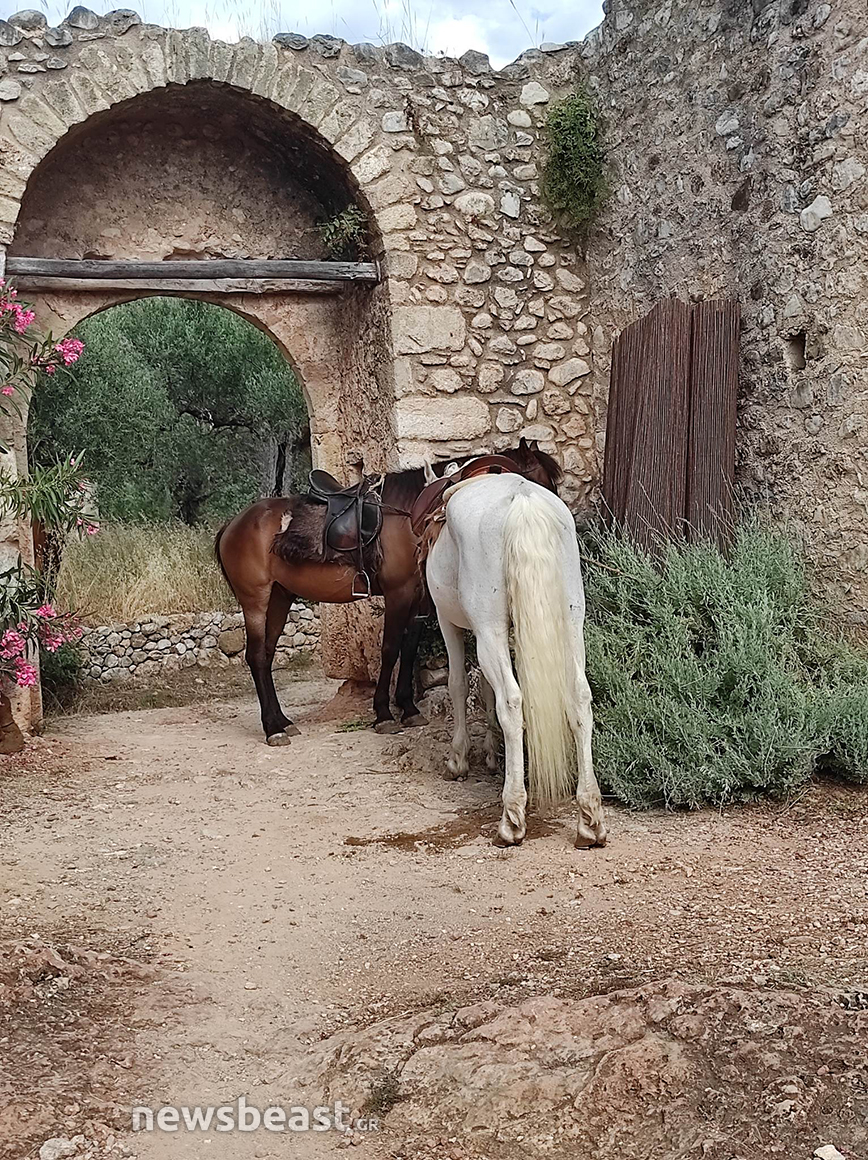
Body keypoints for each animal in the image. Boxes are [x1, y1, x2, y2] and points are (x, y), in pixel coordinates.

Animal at [214, 440, 560, 745]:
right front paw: (383, 713)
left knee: (267, 654)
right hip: (255, 600)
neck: (412, 514)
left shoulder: (418, 599)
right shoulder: (398, 594)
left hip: (280, 597)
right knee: (256, 656)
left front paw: (408, 708)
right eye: (541, 482)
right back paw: (272, 728)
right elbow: (390, 649)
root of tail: (233, 524)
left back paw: (282, 721)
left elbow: (409, 649)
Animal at [426, 472, 607, 849]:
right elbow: (483, 691)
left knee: (511, 701)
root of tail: (521, 500)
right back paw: (589, 819)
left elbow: (459, 684)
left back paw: (511, 817)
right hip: (571, 624)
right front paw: (491, 754)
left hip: (490, 630)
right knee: (579, 699)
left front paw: (459, 759)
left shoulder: (448, 621)